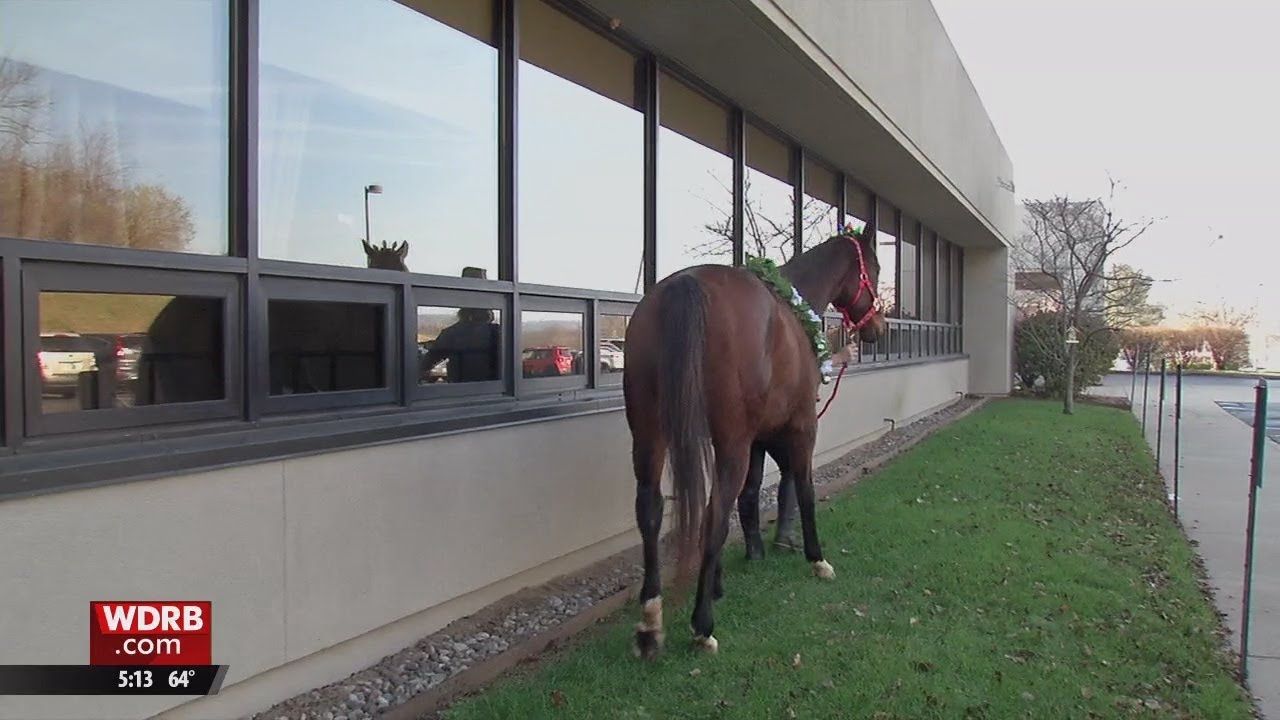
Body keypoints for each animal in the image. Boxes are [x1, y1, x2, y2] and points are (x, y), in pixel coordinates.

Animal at [623, 225, 885, 658]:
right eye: (876, 268)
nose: (878, 328)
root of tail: (685, 284)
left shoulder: (758, 438)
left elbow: (750, 495)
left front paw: (726, 576)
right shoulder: (800, 428)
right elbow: (805, 491)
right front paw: (817, 559)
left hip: (649, 435)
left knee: (651, 508)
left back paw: (650, 623)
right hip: (732, 444)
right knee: (713, 511)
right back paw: (702, 626)